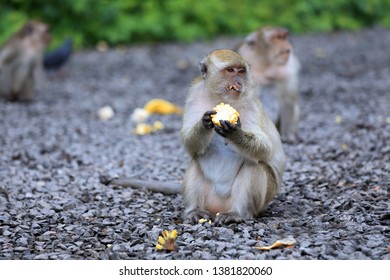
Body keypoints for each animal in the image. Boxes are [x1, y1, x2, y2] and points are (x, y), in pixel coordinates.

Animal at [102, 48, 286, 225]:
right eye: (230, 70)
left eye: (241, 71)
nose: (239, 82)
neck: (219, 97)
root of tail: (218, 207)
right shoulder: (194, 95)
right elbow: (190, 145)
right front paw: (204, 123)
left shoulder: (251, 102)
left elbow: (266, 149)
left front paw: (234, 132)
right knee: (195, 164)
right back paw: (194, 211)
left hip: (260, 200)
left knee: (254, 165)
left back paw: (238, 213)